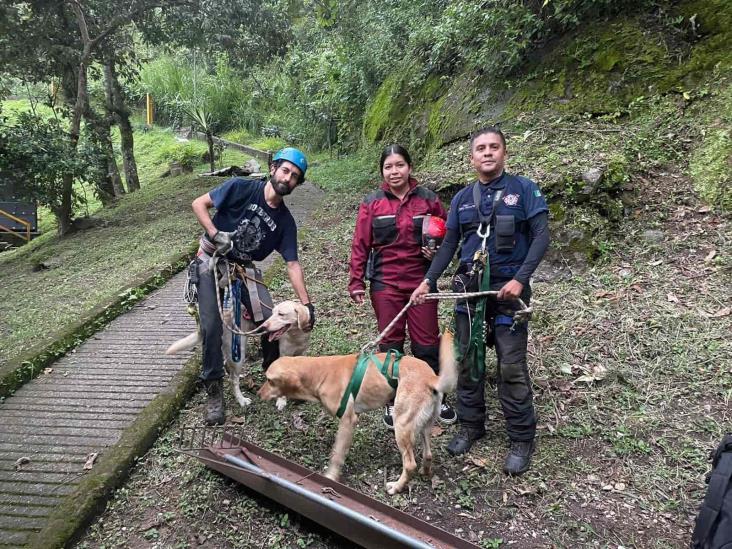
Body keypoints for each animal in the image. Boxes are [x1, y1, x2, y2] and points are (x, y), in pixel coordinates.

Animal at [166, 300, 312, 406]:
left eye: (281, 314)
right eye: (272, 313)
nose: (264, 326)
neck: (295, 335)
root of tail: (225, 316)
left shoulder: (301, 353)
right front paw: (282, 400)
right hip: (239, 353)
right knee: (233, 380)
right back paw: (241, 400)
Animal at [254, 332, 454, 494]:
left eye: (269, 380)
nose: (258, 394)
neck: (319, 373)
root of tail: (431, 378)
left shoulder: (348, 420)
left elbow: (337, 454)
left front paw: (331, 476)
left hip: (402, 426)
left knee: (410, 464)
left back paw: (397, 487)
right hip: (425, 426)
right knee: (428, 454)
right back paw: (425, 472)